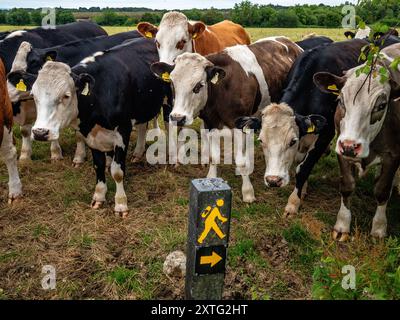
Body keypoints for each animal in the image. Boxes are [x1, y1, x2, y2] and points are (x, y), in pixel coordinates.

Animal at [6, 30, 141, 165]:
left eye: (33, 62)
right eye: (13, 62)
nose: (7, 90)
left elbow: (78, 135)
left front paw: (74, 156)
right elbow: (27, 130)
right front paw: (25, 157)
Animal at [25, 38, 169, 218]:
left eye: (66, 95)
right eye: (33, 95)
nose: (40, 132)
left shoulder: (123, 130)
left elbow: (117, 171)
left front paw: (120, 204)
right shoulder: (91, 135)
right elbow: (98, 166)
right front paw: (99, 196)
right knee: (143, 127)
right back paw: (137, 153)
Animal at [152, 37, 302, 202]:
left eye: (199, 85)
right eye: (172, 84)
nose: (177, 118)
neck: (222, 90)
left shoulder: (238, 124)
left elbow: (241, 161)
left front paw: (248, 192)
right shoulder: (211, 124)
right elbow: (213, 156)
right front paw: (210, 178)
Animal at [312, 43, 400, 241]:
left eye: (381, 105)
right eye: (340, 100)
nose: (350, 146)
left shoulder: (394, 155)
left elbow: (382, 191)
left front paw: (378, 229)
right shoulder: (341, 149)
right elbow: (347, 186)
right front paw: (342, 225)